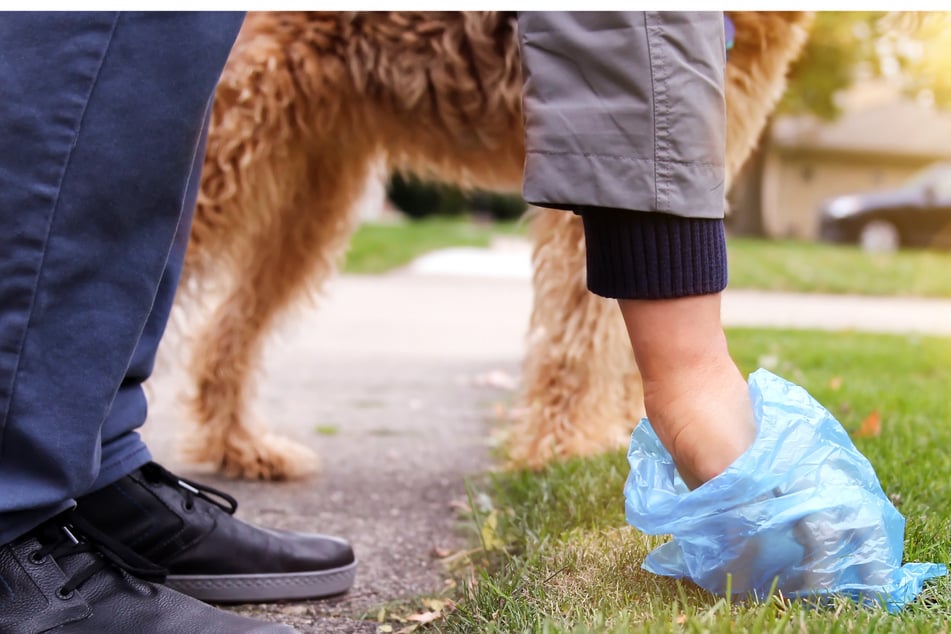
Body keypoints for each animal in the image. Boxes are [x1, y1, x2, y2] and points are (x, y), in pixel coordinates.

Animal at [178, 12, 812, 476]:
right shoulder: (598, 157)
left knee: (226, 332)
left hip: (309, 191)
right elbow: (581, 334)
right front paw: (567, 449)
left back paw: (240, 448)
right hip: (231, 140)